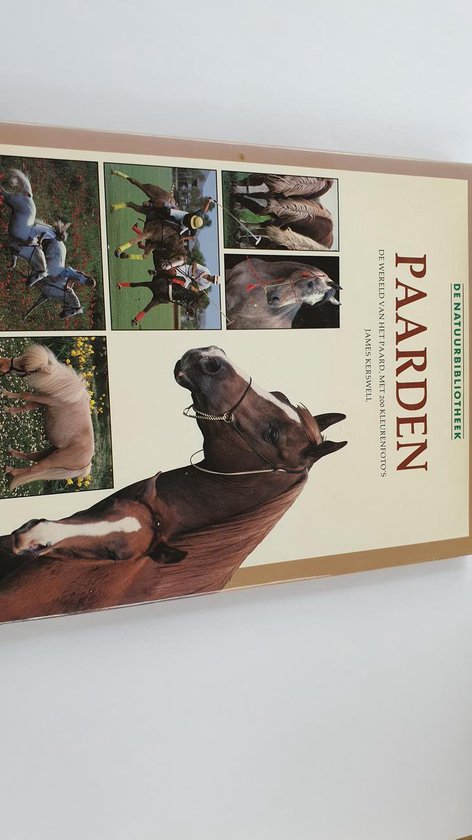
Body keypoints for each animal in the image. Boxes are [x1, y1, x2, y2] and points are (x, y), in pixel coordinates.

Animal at [0, 344, 94, 492]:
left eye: (24, 367)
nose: (1, 363)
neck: (67, 392)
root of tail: (87, 465)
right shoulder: (43, 401)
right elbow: (26, 406)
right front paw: (8, 402)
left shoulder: (46, 400)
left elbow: (24, 395)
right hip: (51, 451)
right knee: (33, 456)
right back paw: (11, 452)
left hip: (52, 460)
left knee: (34, 469)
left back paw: (10, 470)